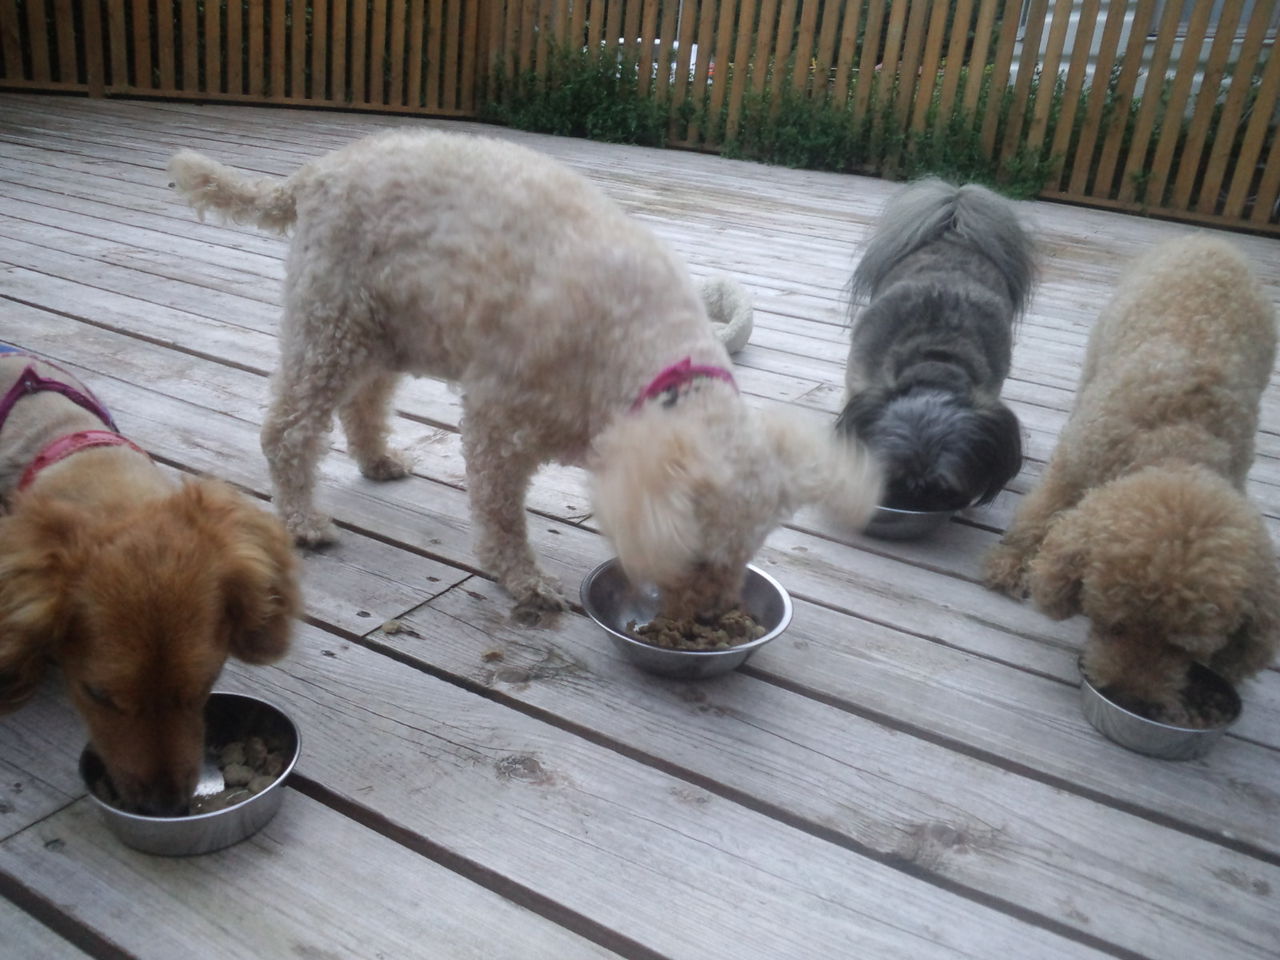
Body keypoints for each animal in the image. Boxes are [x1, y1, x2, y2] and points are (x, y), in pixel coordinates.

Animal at [167, 130, 880, 623]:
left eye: (743, 556)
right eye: (697, 558)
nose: (711, 616)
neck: (637, 347)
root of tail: (316, 173)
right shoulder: (497, 418)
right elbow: (501, 514)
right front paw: (525, 581)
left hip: (388, 326)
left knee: (363, 401)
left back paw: (377, 459)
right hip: (333, 323)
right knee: (290, 427)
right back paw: (303, 520)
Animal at [837, 178, 1034, 512]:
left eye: (946, 491)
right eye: (891, 481)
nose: (912, 503)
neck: (934, 360)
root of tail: (953, 231)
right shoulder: (859, 382)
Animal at [984, 236, 1279, 724]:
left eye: (1182, 650)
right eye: (1113, 625)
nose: (1132, 701)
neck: (1177, 444)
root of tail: (1210, 241)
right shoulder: (1072, 468)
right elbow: (1038, 515)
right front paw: (1011, 563)